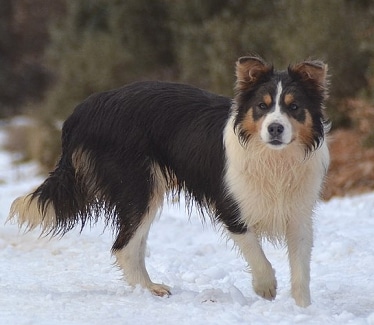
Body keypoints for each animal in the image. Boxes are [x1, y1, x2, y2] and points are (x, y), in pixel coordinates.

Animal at [8, 55, 328, 306]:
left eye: (294, 107)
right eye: (262, 106)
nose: (275, 128)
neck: (275, 158)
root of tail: (85, 108)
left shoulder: (299, 213)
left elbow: (301, 266)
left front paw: (303, 309)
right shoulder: (230, 205)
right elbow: (255, 251)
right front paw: (266, 288)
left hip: (146, 189)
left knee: (132, 244)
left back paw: (150, 288)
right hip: (137, 185)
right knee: (123, 246)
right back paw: (149, 291)